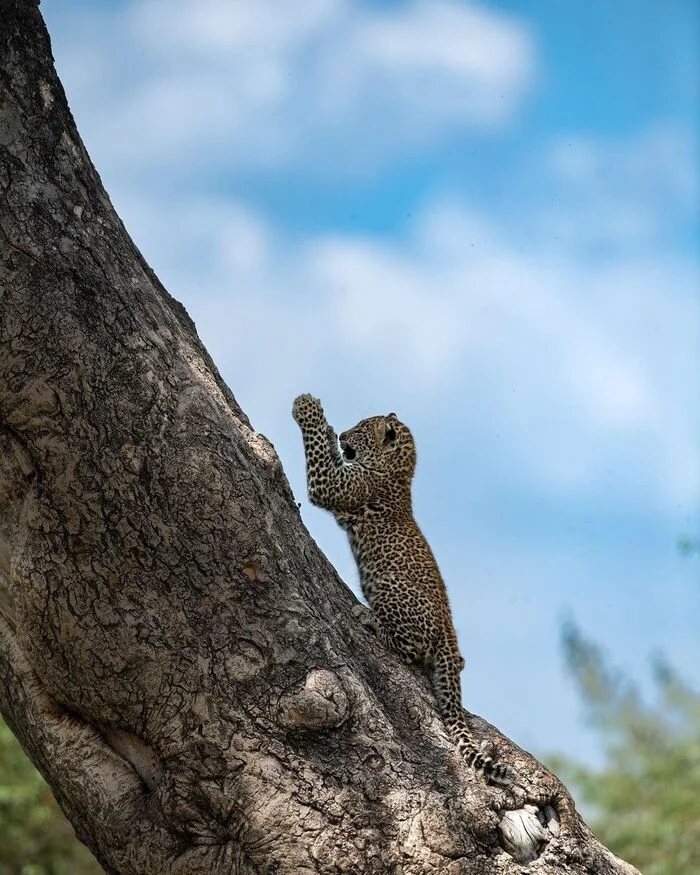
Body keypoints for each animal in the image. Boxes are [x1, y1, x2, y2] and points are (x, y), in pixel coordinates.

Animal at [292, 394, 516, 792]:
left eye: (361, 429)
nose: (344, 434)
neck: (396, 472)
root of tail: (450, 635)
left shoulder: (334, 484)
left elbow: (318, 452)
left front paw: (308, 408)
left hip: (388, 585)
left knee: (408, 649)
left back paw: (369, 618)